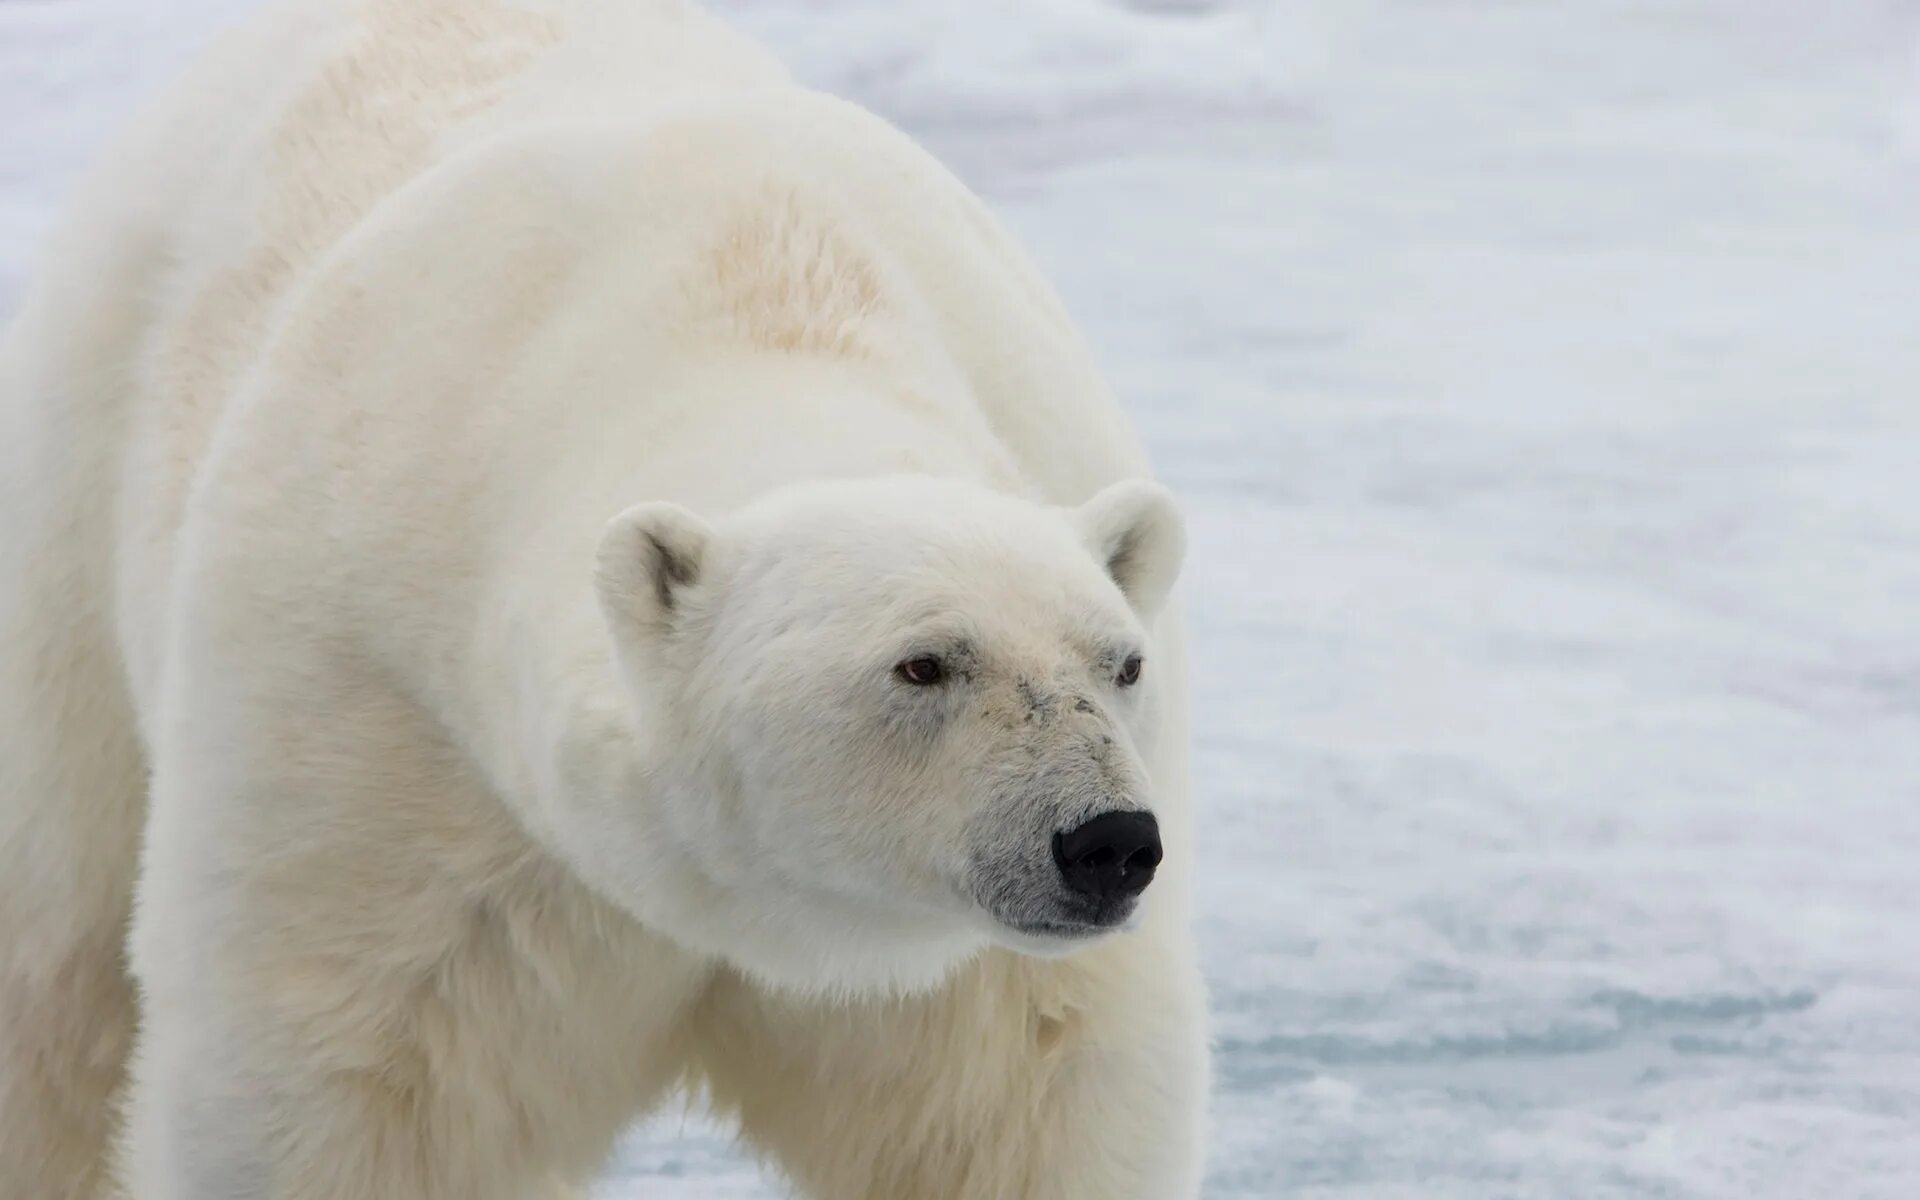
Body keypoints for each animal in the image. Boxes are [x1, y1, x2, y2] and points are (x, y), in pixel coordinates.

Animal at [0, 2, 1198, 1198]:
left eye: (1122, 662)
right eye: (924, 662)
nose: (1106, 842)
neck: (757, 294)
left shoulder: (977, 975)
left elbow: (1032, 1102)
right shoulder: (374, 721)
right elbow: (335, 1088)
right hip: (81, 479)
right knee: (55, 967)